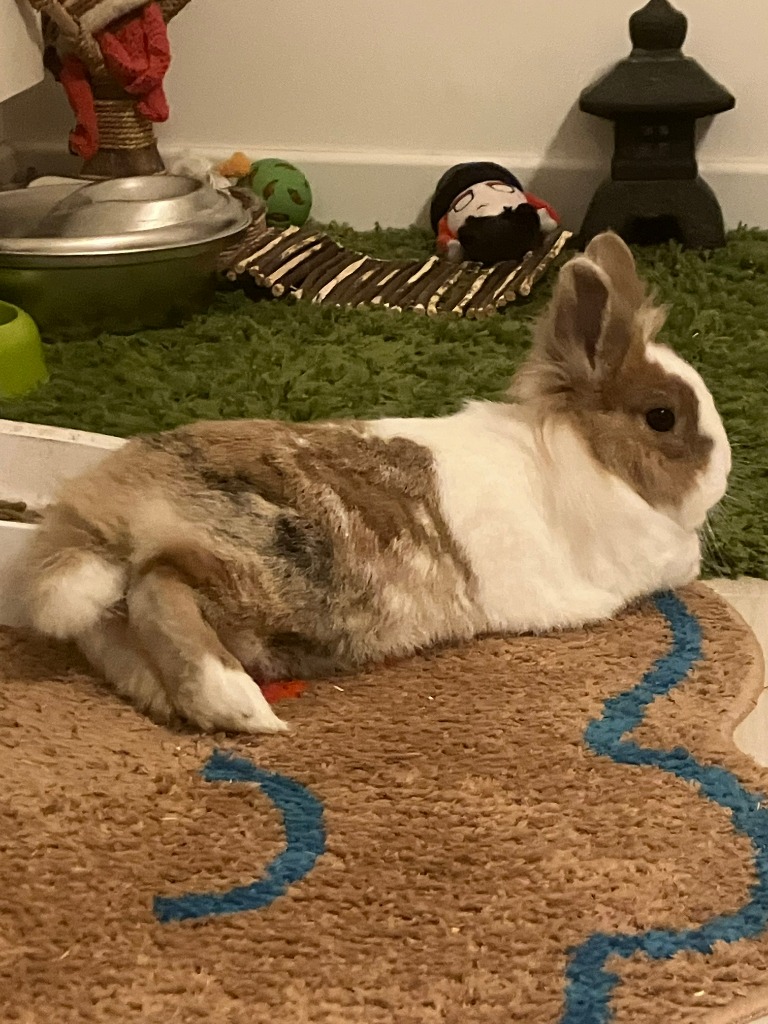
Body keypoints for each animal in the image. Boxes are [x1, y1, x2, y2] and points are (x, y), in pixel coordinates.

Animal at [19, 232, 731, 734]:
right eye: (662, 418)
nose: (724, 473)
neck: (589, 456)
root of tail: (112, 497)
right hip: (267, 565)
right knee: (156, 587)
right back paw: (240, 706)